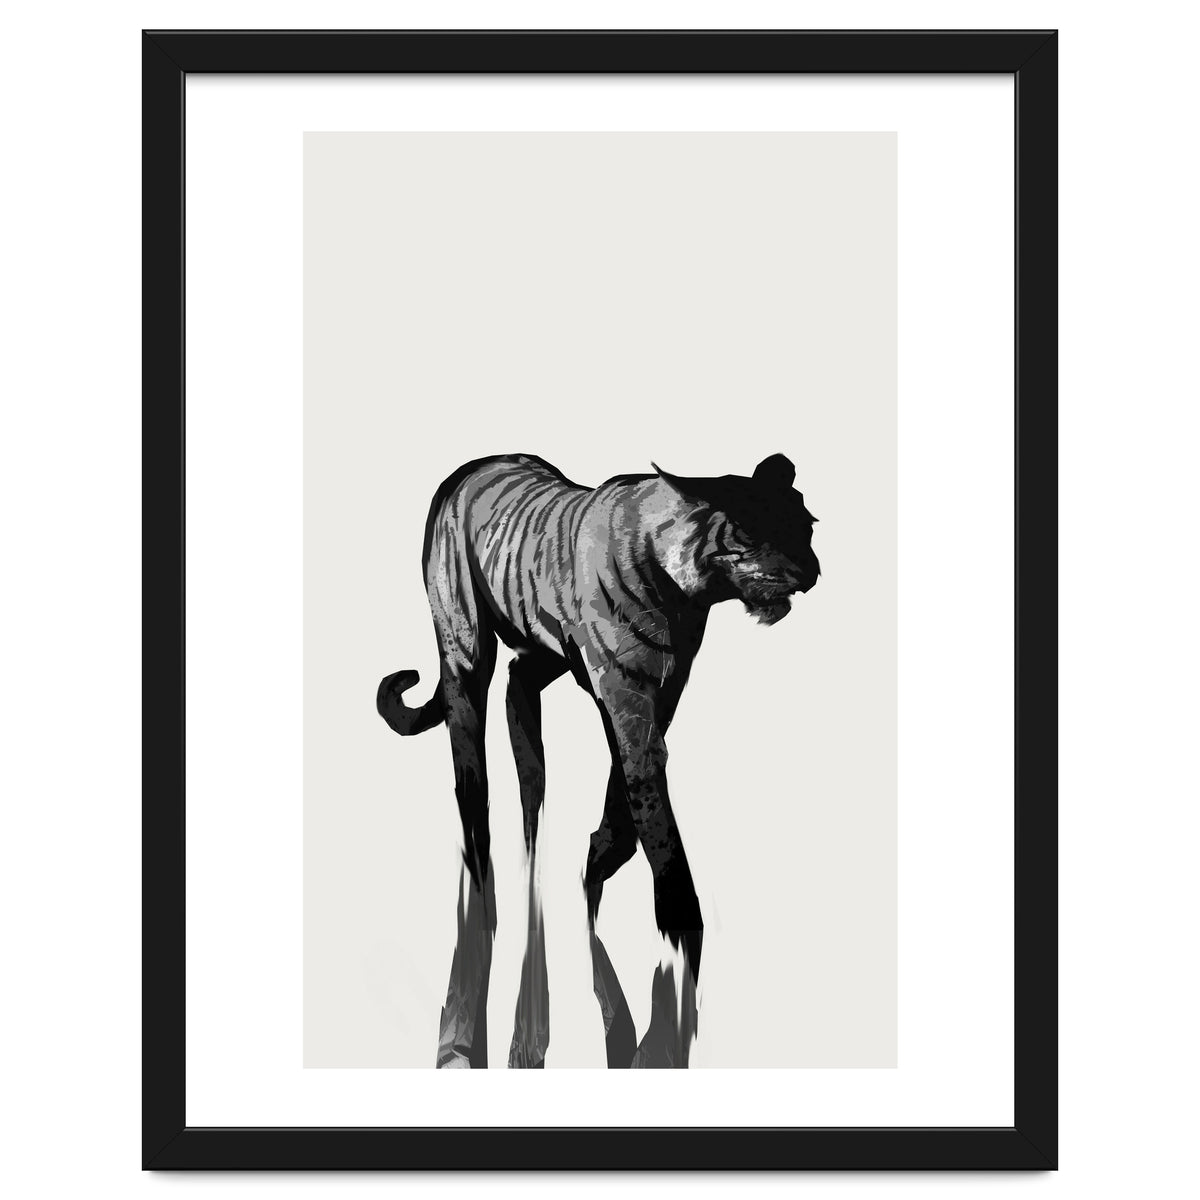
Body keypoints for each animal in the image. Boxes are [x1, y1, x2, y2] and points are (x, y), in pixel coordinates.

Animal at [377, 452, 819, 1068]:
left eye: (805, 525)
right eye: (753, 529)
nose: (812, 571)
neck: (685, 592)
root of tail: (472, 466)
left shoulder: (664, 689)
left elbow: (624, 793)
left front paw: (598, 861)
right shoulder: (626, 693)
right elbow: (649, 802)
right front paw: (680, 929)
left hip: (540, 654)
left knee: (520, 708)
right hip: (465, 650)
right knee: (471, 766)